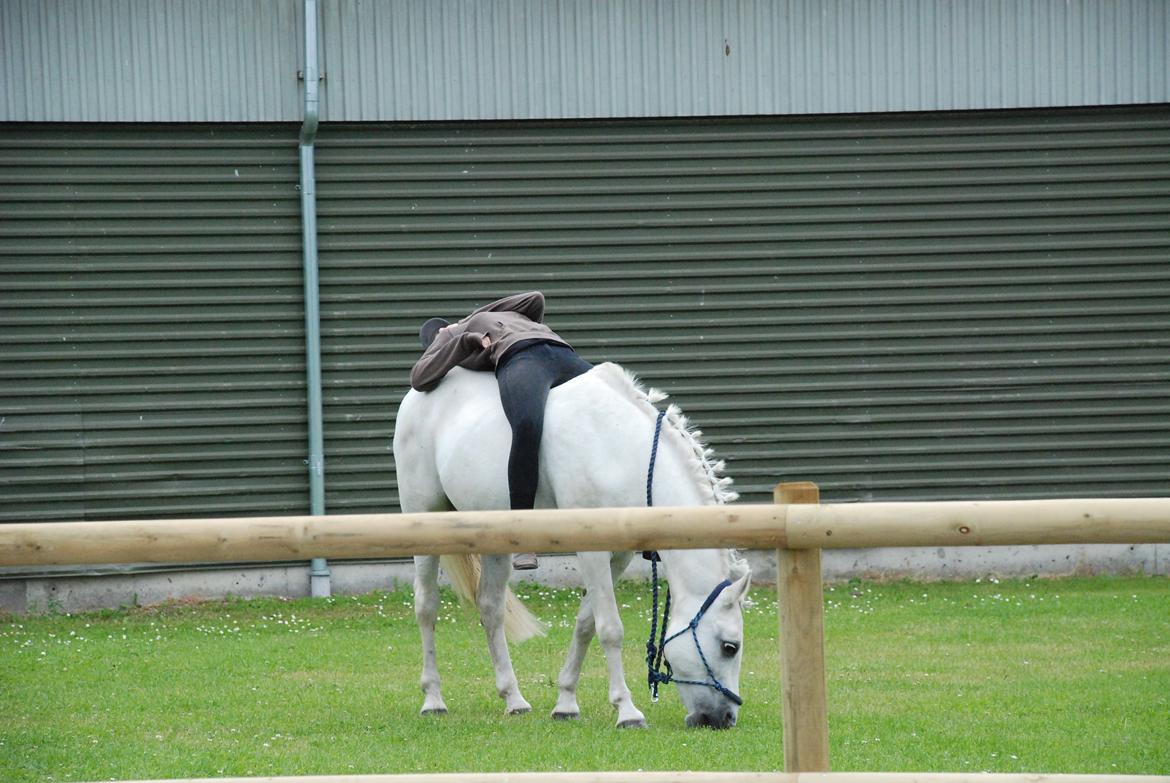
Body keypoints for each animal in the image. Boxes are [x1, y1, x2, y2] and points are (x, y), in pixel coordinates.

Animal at [393, 360, 748, 725]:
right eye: (729, 646)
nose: (724, 719)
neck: (622, 450)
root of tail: (418, 395)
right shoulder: (592, 551)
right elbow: (610, 628)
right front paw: (627, 710)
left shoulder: (618, 555)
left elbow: (586, 624)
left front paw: (565, 703)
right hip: (423, 519)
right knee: (427, 605)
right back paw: (433, 699)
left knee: (490, 608)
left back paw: (513, 698)